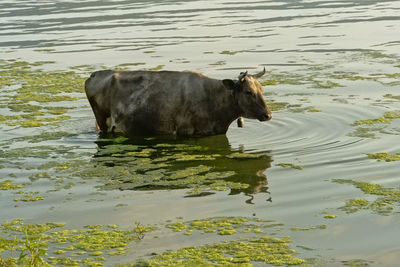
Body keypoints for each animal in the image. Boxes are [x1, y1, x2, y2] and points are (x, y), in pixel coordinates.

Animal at [84, 68, 272, 137]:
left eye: (262, 90)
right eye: (248, 92)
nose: (268, 114)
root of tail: (95, 74)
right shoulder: (186, 131)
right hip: (104, 122)